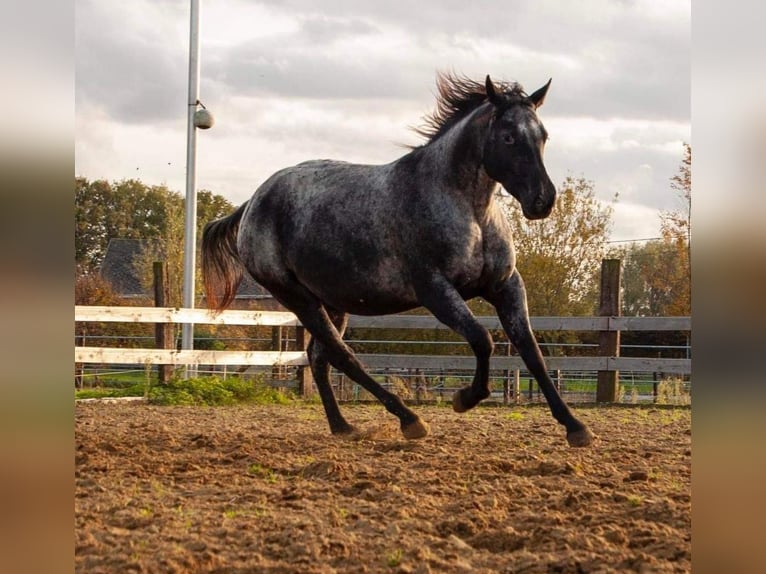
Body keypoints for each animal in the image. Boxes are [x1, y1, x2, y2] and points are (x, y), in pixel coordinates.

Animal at [201, 73, 596, 450]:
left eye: (543, 135)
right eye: (509, 137)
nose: (542, 200)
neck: (469, 210)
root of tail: (253, 202)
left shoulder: (506, 286)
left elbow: (532, 352)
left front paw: (576, 427)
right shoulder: (435, 290)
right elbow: (483, 339)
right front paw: (465, 398)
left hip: (333, 302)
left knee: (319, 357)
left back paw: (343, 427)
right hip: (297, 298)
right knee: (343, 356)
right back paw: (409, 420)